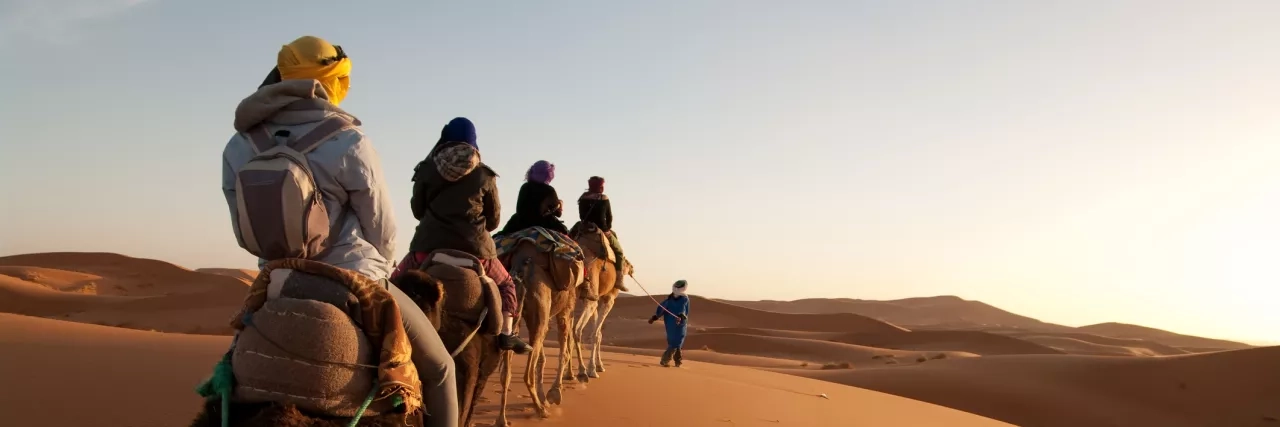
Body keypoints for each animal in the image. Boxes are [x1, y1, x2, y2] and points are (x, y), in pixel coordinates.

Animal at [491, 236, 586, 427]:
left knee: (506, 373)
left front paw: (546, 396)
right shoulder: (565, 311)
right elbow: (564, 351)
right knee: (527, 373)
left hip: (515, 314)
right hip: (540, 309)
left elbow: (544, 357)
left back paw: (502, 419)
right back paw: (541, 410)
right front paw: (555, 394)